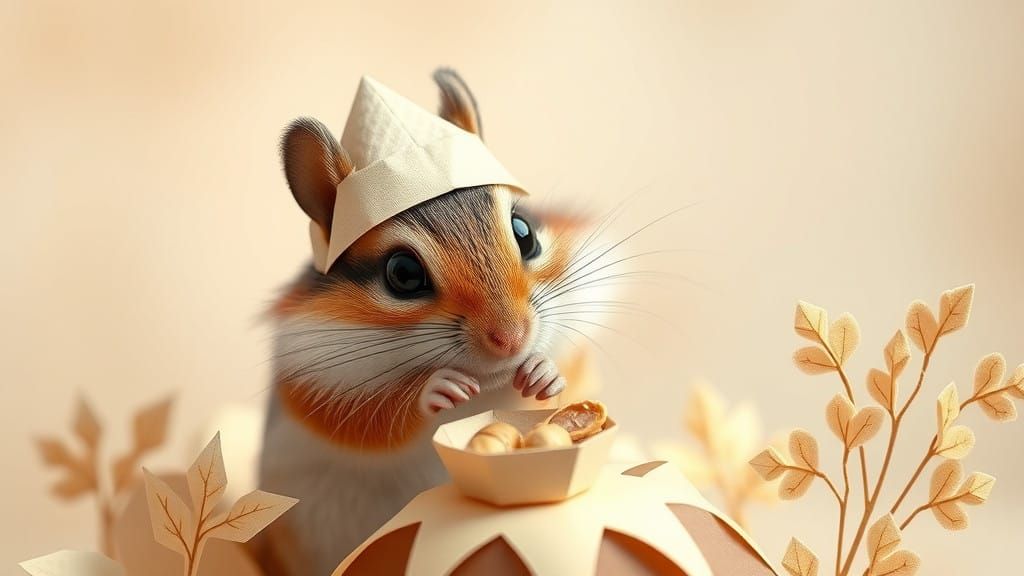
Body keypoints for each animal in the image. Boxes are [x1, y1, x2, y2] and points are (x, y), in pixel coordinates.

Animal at [256, 69, 590, 575]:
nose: (512, 340)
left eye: (524, 232)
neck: (486, 384)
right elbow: (375, 422)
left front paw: (542, 372)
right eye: (403, 274)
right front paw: (438, 388)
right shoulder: (314, 383)